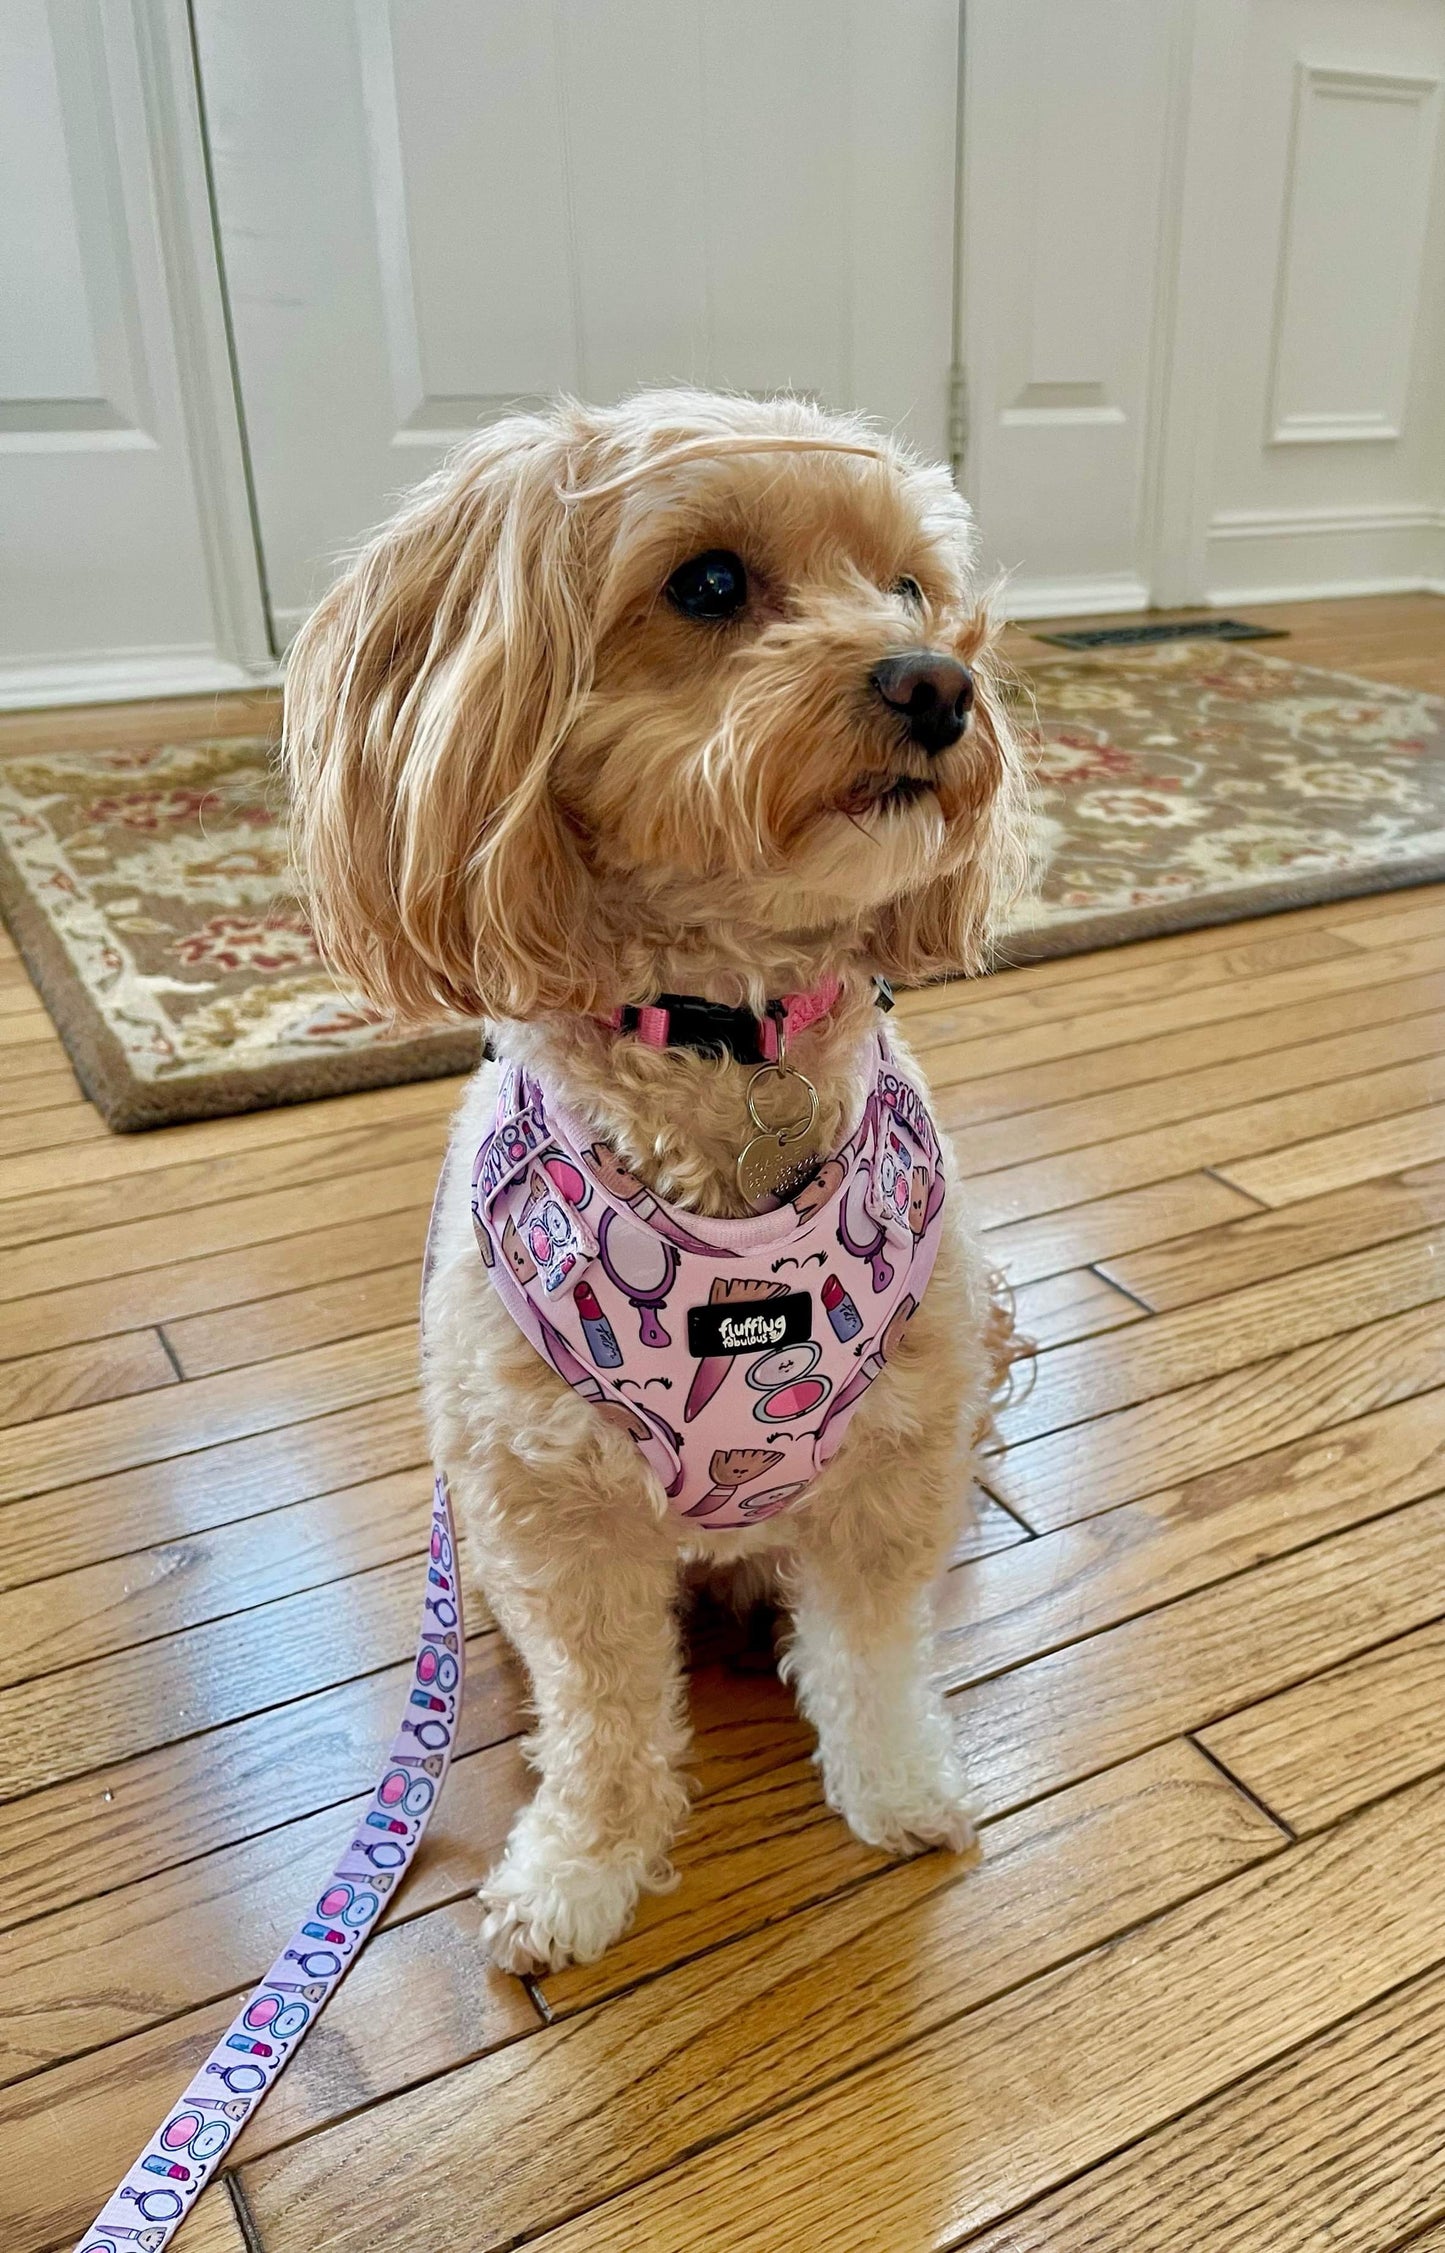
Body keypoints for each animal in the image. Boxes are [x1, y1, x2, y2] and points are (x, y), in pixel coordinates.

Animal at [281, 387, 1027, 1973]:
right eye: (707, 582)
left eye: (910, 585)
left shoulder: (894, 1462)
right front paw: (579, 1868)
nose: (940, 684)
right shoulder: (552, 1517)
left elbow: (871, 1655)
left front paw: (896, 1786)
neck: (730, 1040)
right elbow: (605, 1719)